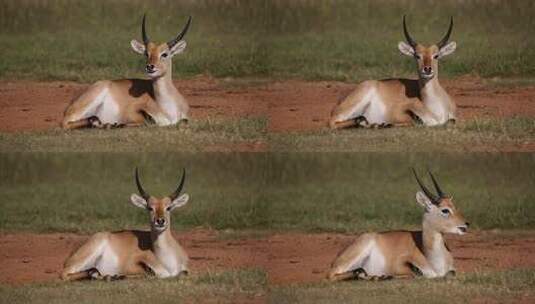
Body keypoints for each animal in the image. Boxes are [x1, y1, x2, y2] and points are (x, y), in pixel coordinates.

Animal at [61, 14, 192, 129]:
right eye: (146, 53)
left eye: (165, 54)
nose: (150, 67)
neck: (167, 108)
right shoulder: (132, 112)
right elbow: (147, 122)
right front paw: (116, 124)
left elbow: (184, 121)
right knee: (65, 123)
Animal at [61, 167, 191, 282]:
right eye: (150, 208)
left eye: (169, 207)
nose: (160, 221)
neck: (166, 261)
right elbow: (150, 273)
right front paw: (117, 276)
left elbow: (183, 273)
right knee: (65, 274)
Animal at [328, 169, 472, 280]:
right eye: (445, 210)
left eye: (454, 206)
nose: (466, 223)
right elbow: (416, 274)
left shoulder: (451, 270)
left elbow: (450, 273)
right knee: (332, 275)